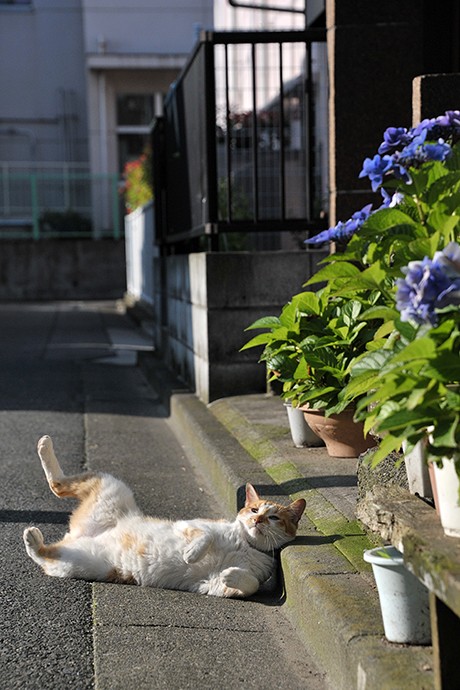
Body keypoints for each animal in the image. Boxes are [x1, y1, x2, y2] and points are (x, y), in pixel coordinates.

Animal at [24, 436, 306, 596]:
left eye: (274, 518)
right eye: (255, 510)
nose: (257, 520)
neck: (245, 544)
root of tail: (76, 533)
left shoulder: (212, 585)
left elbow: (250, 585)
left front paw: (231, 574)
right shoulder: (191, 524)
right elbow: (205, 536)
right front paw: (191, 554)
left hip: (80, 563)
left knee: (44, 554)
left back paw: (33, 539)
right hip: (111, 485)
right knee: (57, 485)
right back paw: (44, 445)